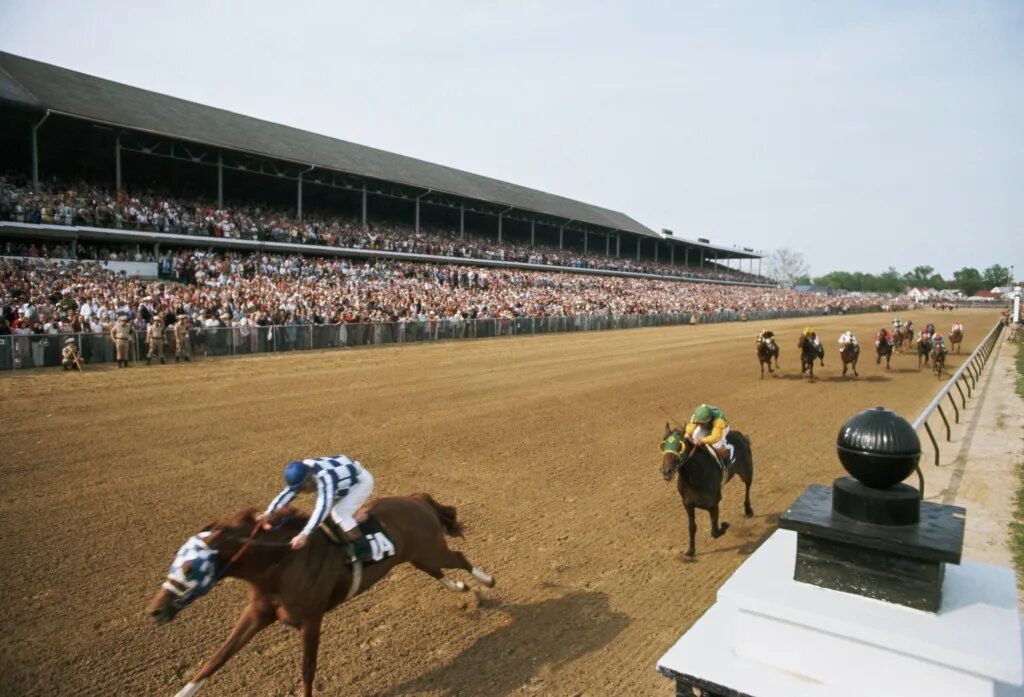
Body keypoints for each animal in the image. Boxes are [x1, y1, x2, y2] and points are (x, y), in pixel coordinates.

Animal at [146, 495, 493, 695]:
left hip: (431, 549)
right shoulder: (257, 613)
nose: (155, 611)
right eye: (174, 563)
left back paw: (487, 580)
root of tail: (415, 498)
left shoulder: (311, 619)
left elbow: (307, 670)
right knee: (436, 571)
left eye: (190, 567)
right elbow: (216, 659)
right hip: (417, 555)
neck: (281, 563)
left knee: (459, 557)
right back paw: (461, 587)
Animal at [659, 421, 757, 556]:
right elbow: (692, 527)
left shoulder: (714, 503)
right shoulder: (688, 504)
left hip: (746, 471)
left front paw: (724, 525)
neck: (695, 479)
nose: (666, 471)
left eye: (680, 446)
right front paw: (690, 551)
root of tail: (741, 435)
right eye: (663, 445)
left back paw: (748, 510)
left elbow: (714, 531)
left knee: (748, 486)